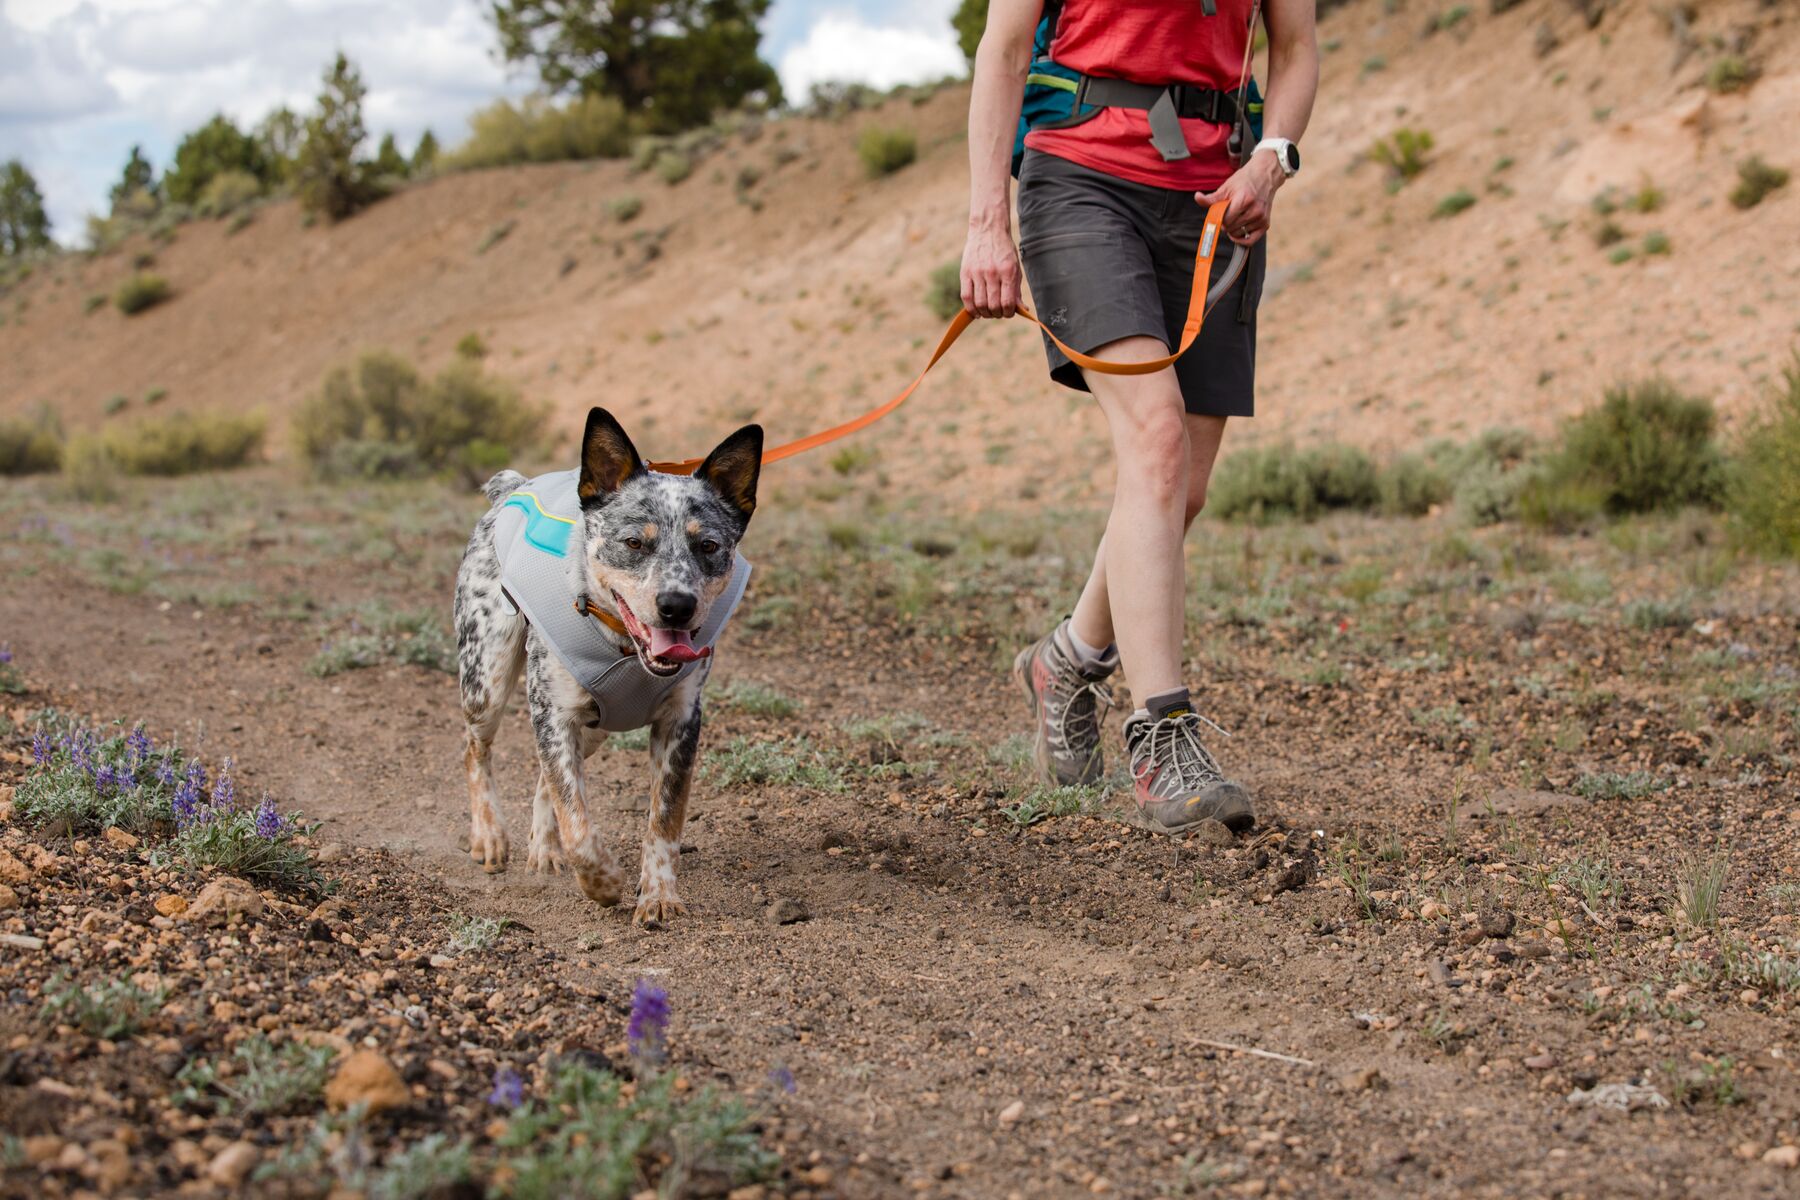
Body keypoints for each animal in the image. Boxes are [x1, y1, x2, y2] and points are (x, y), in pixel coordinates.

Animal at [453, 408, 763, 928]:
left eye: (708, 546)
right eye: (634, 542)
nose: (676, 606)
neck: (623, 649)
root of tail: (513, 487)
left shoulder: (681, 722)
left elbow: (664, 820)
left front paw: (659, 895)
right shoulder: (552, 713)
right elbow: (577, 822)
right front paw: (602, 882)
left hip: (594, 726)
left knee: (546, 778)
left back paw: (543, 847)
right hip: (488, 677)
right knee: (477, 751)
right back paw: (490, 835)